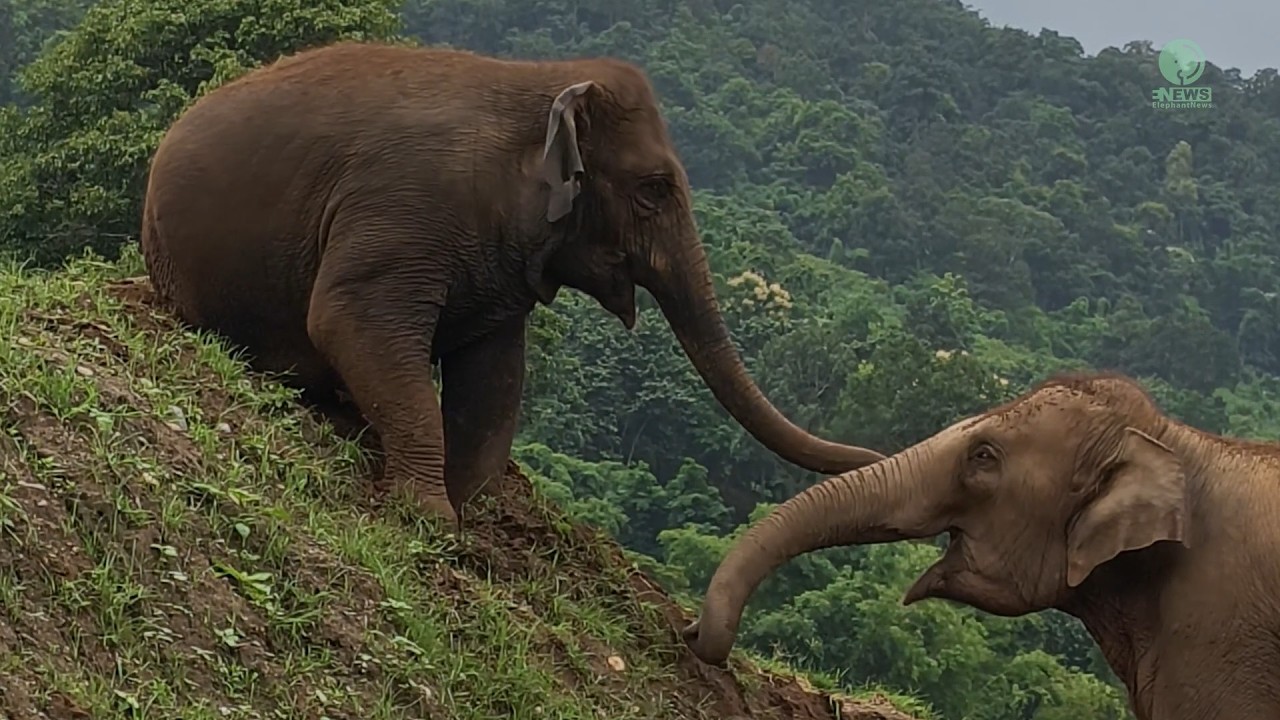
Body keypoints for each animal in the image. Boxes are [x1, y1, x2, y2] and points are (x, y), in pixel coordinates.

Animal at [138, 41, 886, 528]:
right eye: (653, 189)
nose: (878, 454)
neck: (534, 82)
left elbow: (497, 376)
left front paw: (466, 513)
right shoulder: (404, 207)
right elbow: (347, 319)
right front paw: (431, 517)